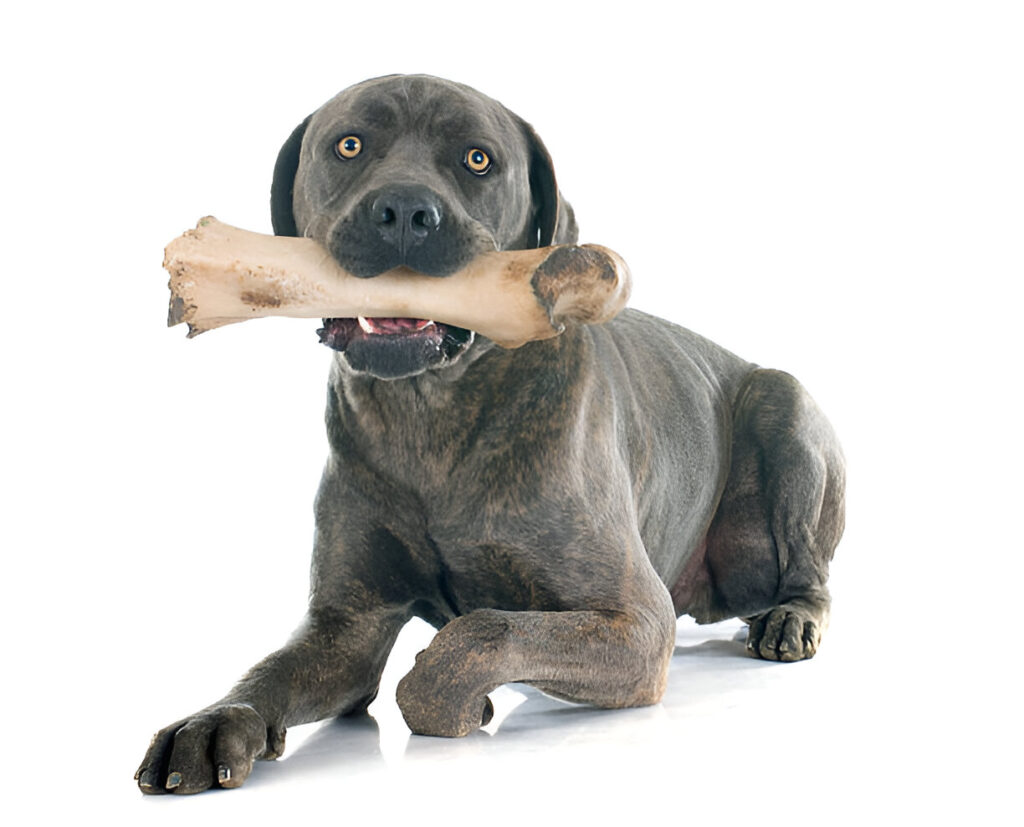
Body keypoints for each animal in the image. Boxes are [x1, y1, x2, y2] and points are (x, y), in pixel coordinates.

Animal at [138, 75, 847, 794]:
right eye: (349, 145)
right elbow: (270, 671)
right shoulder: (345, 626)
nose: (404, 210)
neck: (429, 417)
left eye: (477, 159)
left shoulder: (636, 620)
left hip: (784, 408)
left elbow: (481, 634)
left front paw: (458, 696)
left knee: (808, 569)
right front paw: (212, 720)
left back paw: (789, 618)